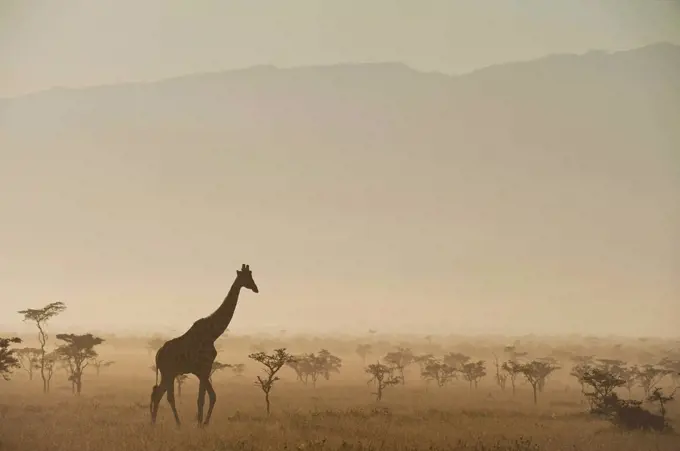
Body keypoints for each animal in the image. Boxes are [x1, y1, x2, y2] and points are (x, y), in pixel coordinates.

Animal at [149, 264, 258, 426]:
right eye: (246, 277)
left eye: (251, 275)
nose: (256, 288)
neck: (213, 334)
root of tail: (158, 354)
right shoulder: (204, 367)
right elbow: (203, 398)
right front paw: (200, 424)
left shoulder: (203, 370)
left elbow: (211, 396)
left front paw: (203, 423)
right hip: (168, 372)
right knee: (164, 395)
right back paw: (176, 424)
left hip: (169, 373)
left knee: (159, 394)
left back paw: (155, 424)